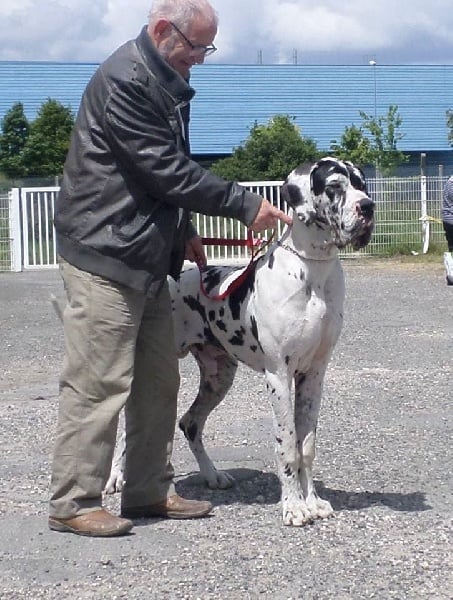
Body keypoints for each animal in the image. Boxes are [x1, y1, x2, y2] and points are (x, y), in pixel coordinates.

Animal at [103, 157, 375, 526]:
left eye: (362, 184)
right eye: (334, 187)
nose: (368, 206)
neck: (313, 273)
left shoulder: (314, 374)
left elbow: (306, 446)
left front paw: (313, 501)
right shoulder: (279, 376)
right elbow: (287, 446)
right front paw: (294, 507)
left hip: (219, 377)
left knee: (189, 423)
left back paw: (213, 475)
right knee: (129, 428)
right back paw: (116, 477)